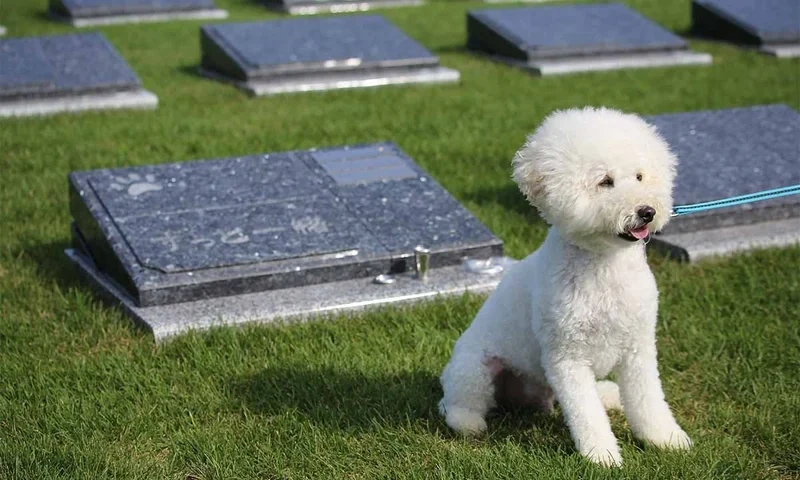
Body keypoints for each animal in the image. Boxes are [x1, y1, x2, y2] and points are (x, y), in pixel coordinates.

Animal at [440, 107, 692, 466]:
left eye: (640, 177)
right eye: (605, 181)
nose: (647, 211)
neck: (604, 265)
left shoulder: (638, 347)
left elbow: (648, 399)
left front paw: (666, 438)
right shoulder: (567, 357)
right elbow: (586, 413)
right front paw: (602, 455)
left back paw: (608, 394)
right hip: (474, 367)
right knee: (458, 401)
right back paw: (467, 422)